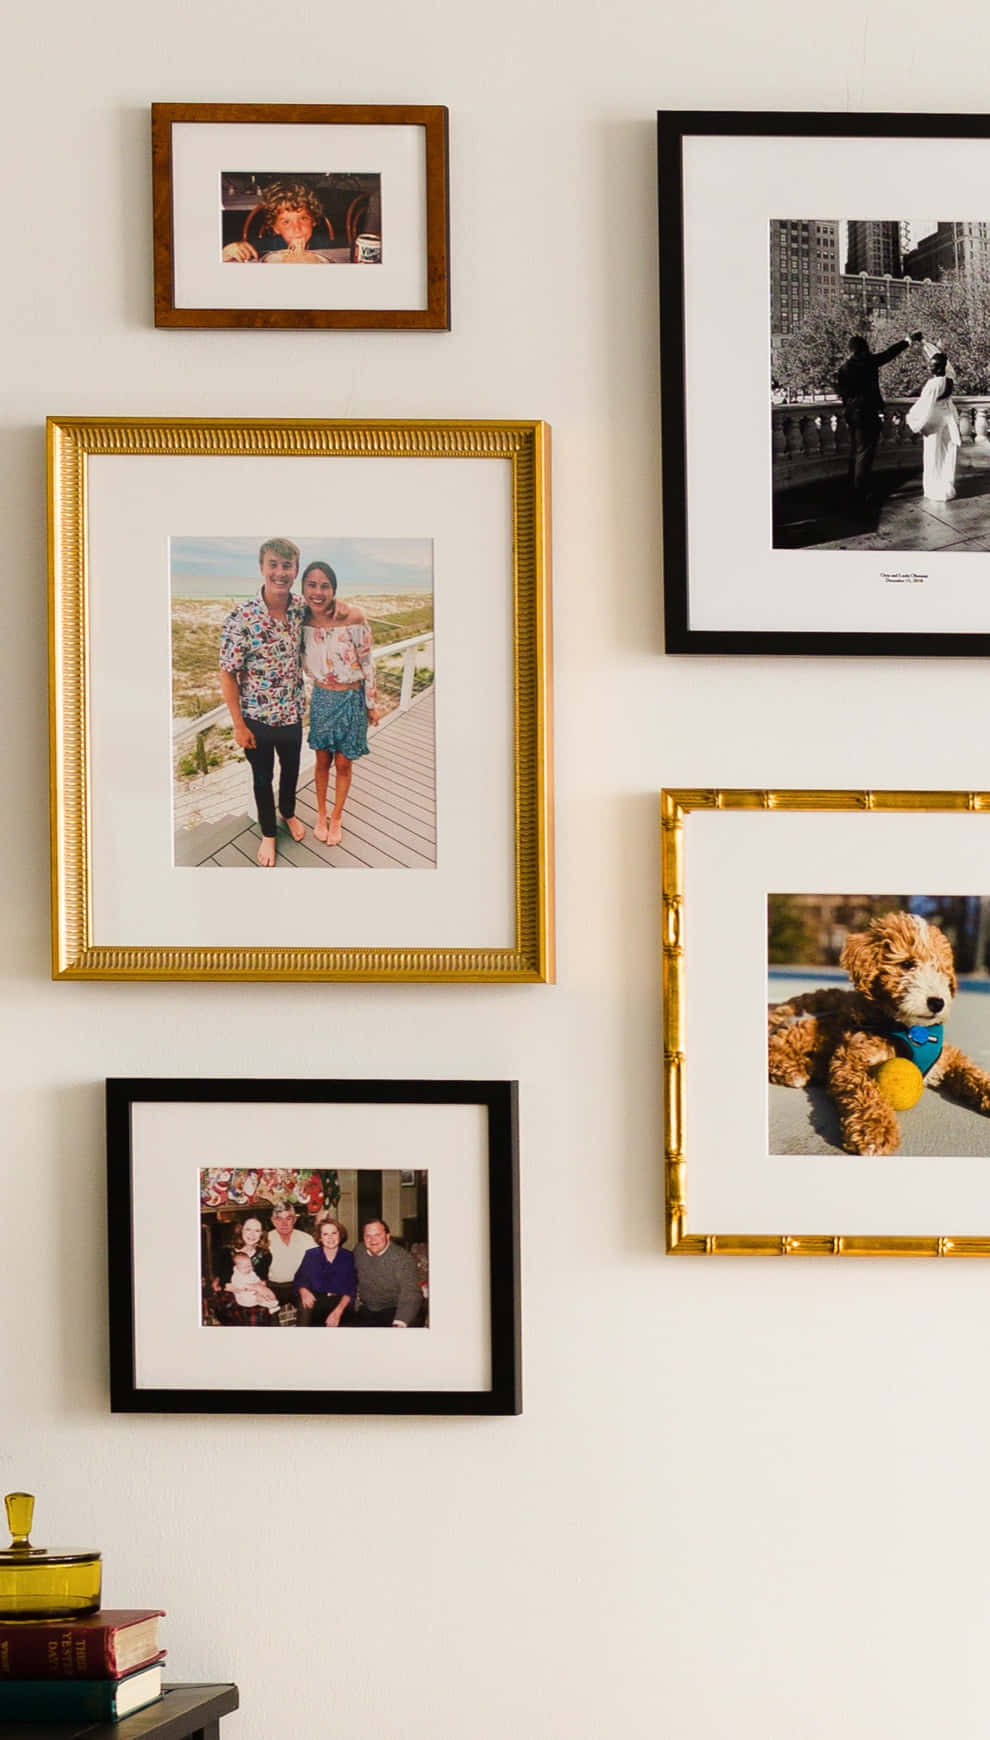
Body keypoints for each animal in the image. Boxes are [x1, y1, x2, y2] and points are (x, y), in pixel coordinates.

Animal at [769, 911, 988, 1155]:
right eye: (907, 964)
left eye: (941, 971)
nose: (937, 1003)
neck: (909, 1029)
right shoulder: (852, 1059)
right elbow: (865, 1092)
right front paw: (874, 1130)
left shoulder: (947, 1056)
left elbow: (970, 1070)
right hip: (807, 1023)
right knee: (774, 1045)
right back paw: (794, 1071)